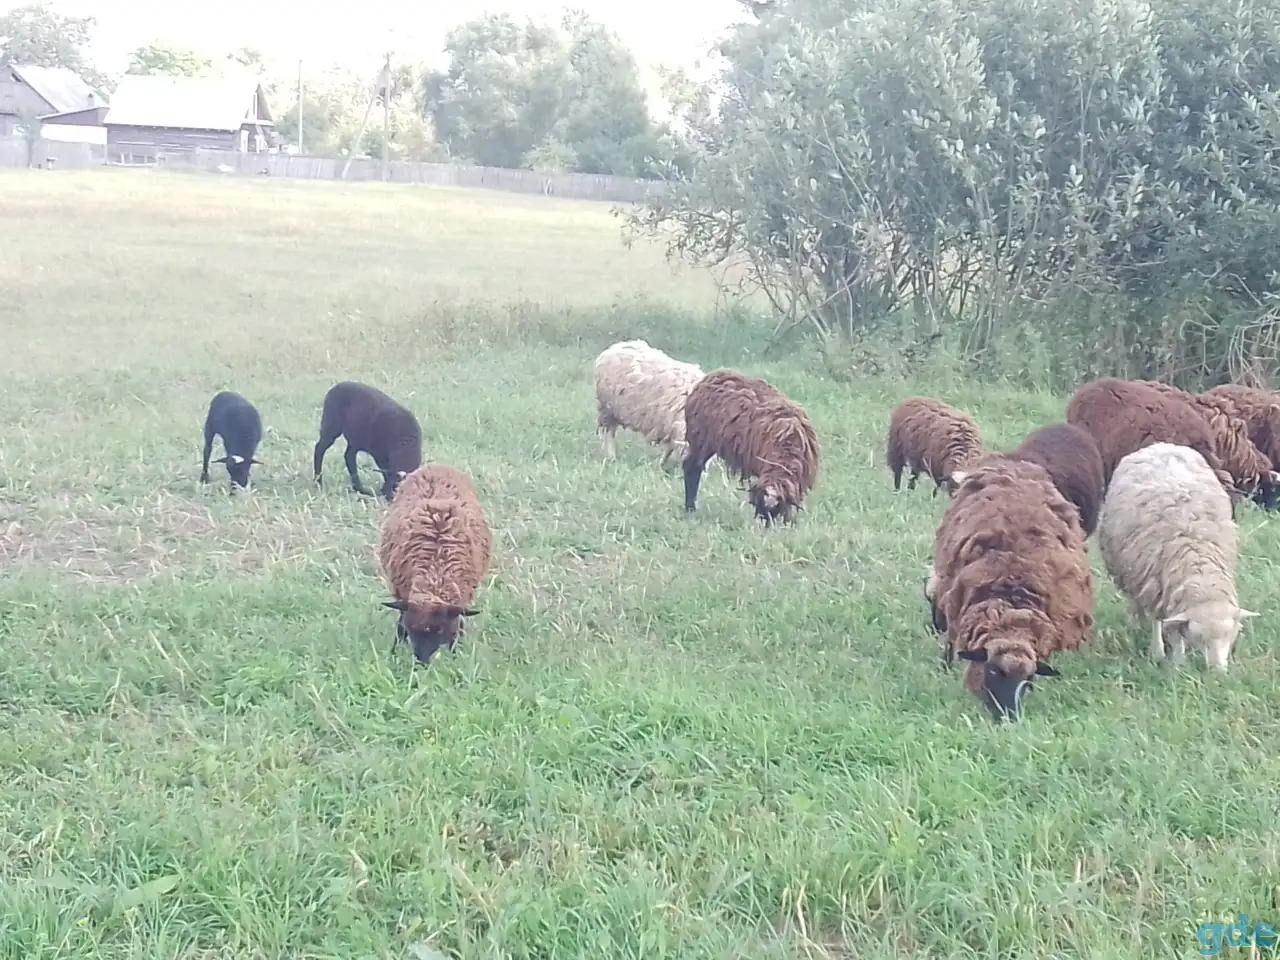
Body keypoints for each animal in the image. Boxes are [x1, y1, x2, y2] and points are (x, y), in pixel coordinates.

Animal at [377, 463, 493, 665]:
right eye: (412, 629)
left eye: (439, 630)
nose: (421, 662)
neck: (435, 574)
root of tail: (437, 465)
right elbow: (400, 625)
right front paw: (394, 652)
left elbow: (458, 626)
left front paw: (456, 655)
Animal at [682, 369, 820, 523]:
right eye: (758, 506)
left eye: (775, 510)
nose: (763, 524)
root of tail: (715, 374)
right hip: (700, 439)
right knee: (692, 468)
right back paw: (690, 508)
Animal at [1096, 442, 1258, 671]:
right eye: (1200, 637)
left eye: (1230, 635)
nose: (1218, 672)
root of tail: (1159, 445)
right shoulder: (1155, 585)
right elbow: (1166, 629)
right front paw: (1172, 660)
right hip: (1130, 572)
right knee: (1134, 603)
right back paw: (1135, 625)